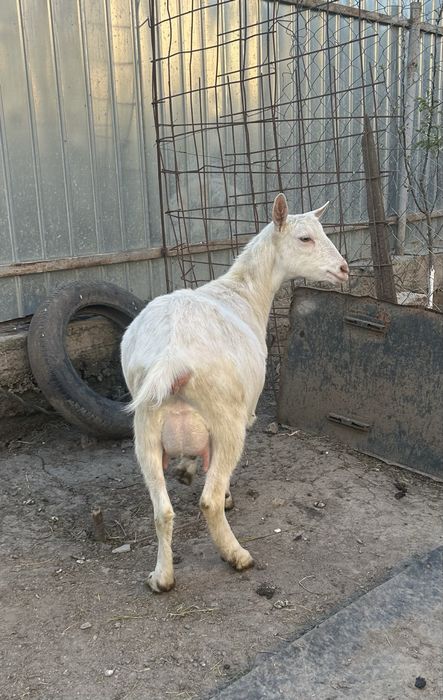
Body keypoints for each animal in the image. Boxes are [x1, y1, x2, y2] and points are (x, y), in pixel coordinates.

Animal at [121, 194, 349, 592]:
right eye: (304, 238)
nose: (344, 269)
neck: (243, 293)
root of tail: (172, 354)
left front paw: (185, 470)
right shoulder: (246, 411)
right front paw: (224, 493)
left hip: (146, 424)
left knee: (162, 510)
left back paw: (162, 577)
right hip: (226, 420)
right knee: (208, 501)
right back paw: (237, 554)